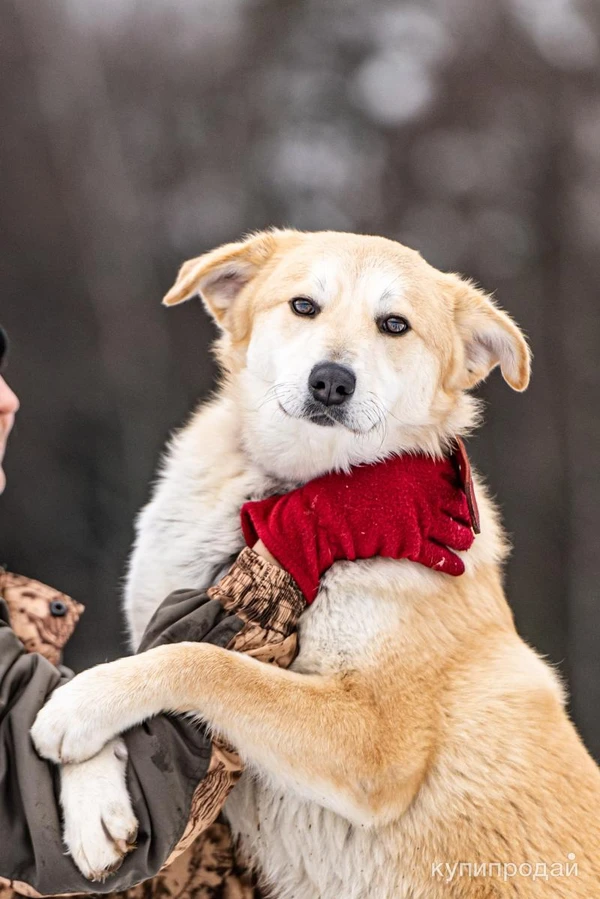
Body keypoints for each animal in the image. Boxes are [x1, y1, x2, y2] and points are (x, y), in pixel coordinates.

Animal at [31, 234, 600, 899]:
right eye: (304, 305)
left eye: (394, 324)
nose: (331, 381)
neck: (297, 488)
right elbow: (149, 660)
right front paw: (91, 803)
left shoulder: (380, 745)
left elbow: (203, 662)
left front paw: (78, 709)